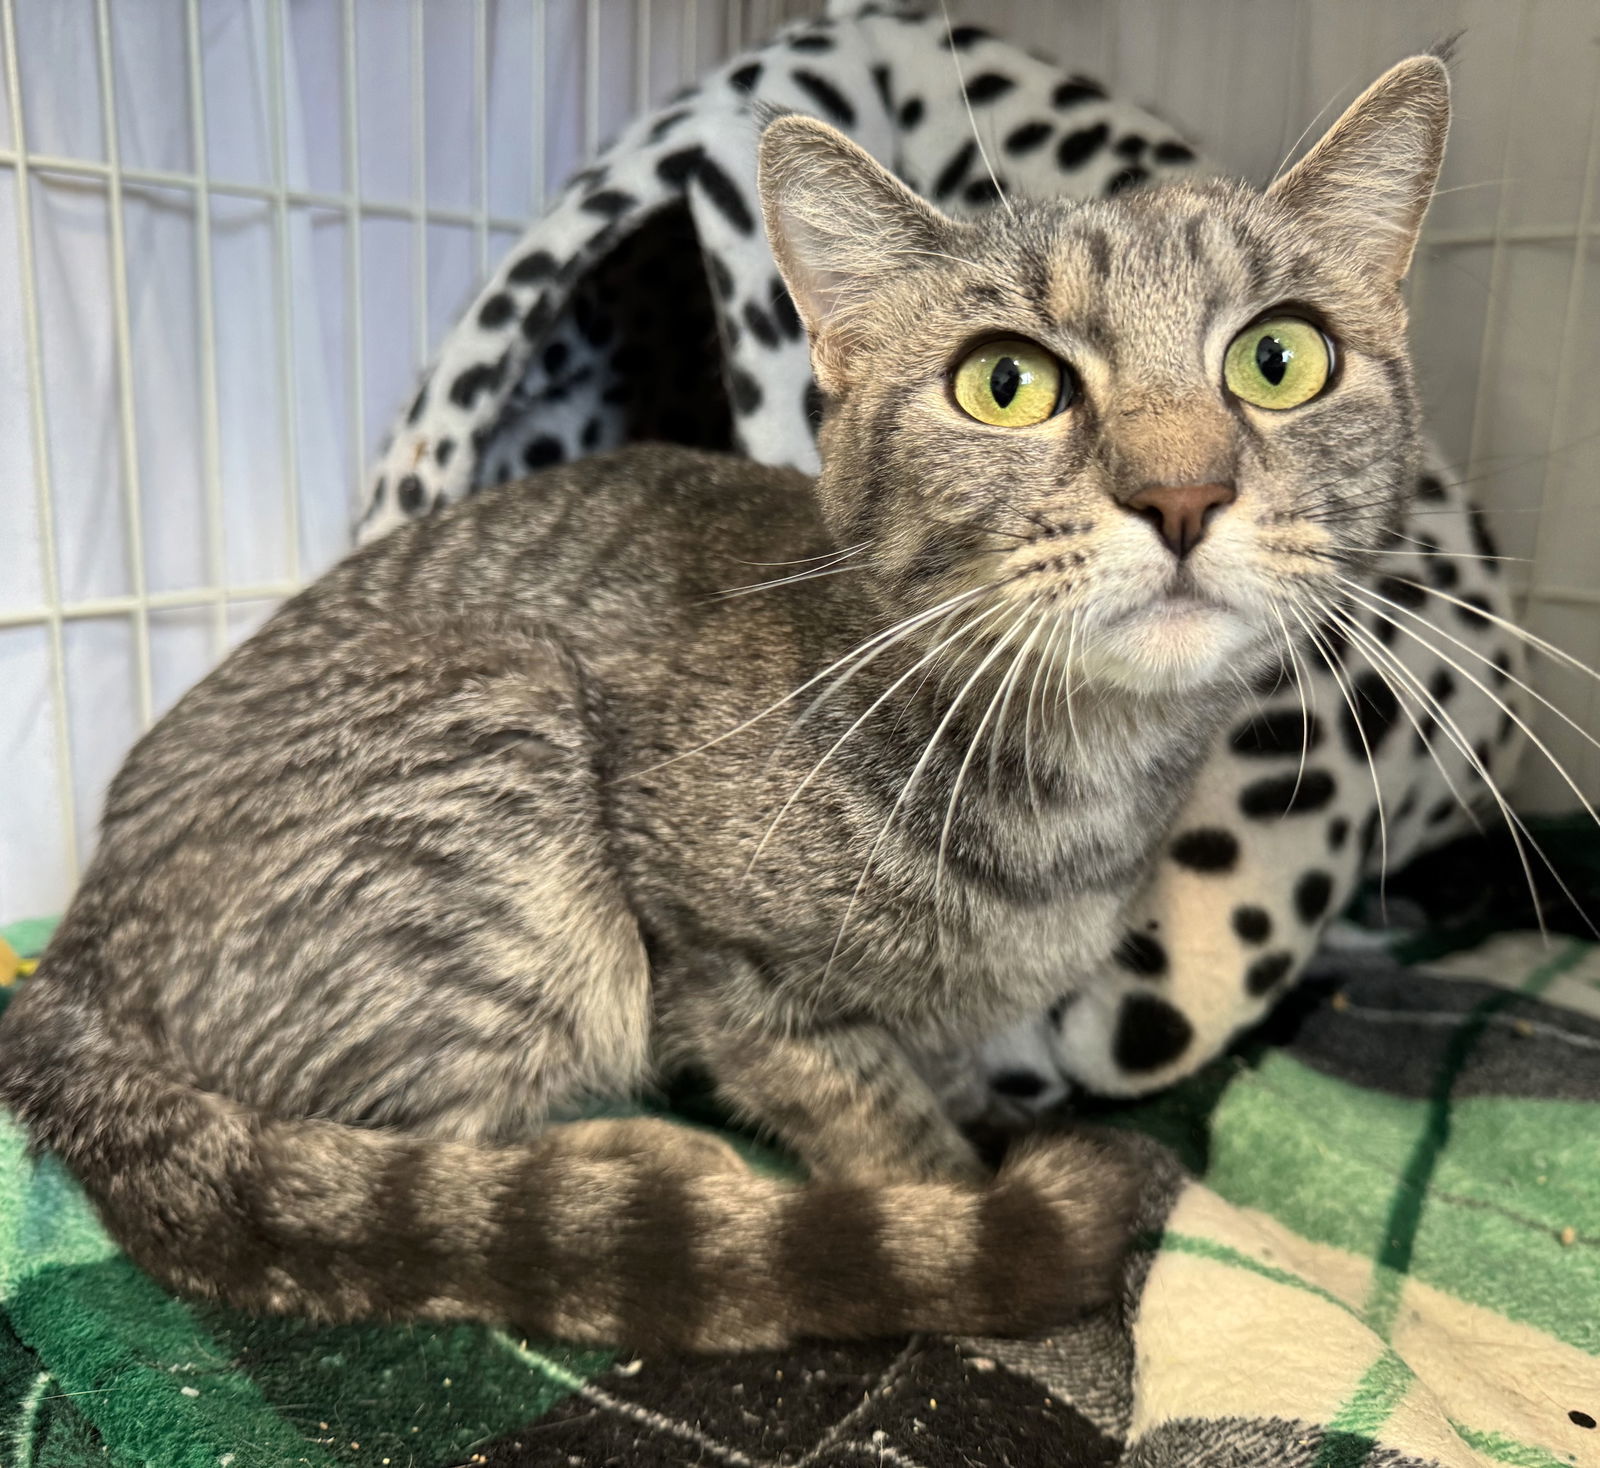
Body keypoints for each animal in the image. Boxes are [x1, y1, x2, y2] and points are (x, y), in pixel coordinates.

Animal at [0, 57, 1452, 1349]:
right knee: (404, 1141)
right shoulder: (732, 980)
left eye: (1278, 360)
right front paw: (955, 1204)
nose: (1182, 492)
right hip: (503, 782)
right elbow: (883, 1125)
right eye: (1006, 383)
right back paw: (633, 1167)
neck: (1076, 797)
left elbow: (944, 1072)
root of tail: (68, 959)